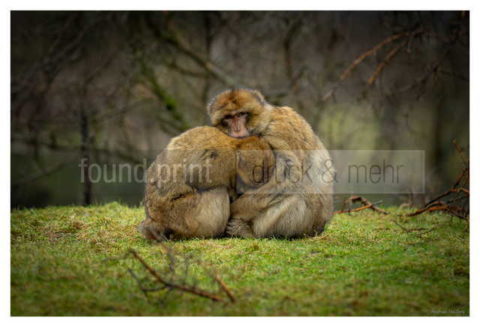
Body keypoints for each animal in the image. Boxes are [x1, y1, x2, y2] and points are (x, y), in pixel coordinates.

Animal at [139, 127, 274, 242]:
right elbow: (197, 175)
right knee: (218, 190)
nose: (264, 181)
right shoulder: (224, 156)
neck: (233, 144)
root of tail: (156, 220)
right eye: (261, 173)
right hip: (186, 216)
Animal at [206, 89, 334, 238]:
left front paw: (235, 209)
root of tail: (320, 227)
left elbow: (289, 175)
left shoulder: (277, 131)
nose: (237, 129)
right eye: (228, 117)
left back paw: (248, 231)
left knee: (295, 195)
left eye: (241, 114)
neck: (265, 122)